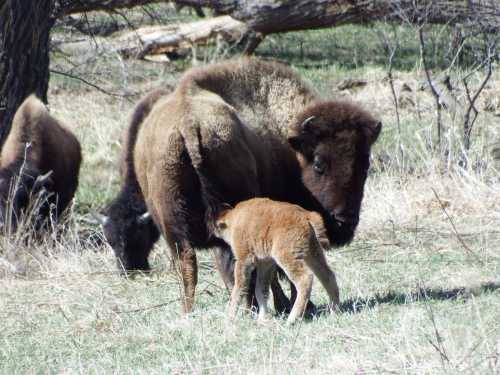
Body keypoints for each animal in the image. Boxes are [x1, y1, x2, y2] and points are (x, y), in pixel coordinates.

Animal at [131, 58, 380, 314]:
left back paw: (190, 311)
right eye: (319, 163)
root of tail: (189, 124)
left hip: (172, 227)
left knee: (189, 265)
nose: (345, 220)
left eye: (365, 163)